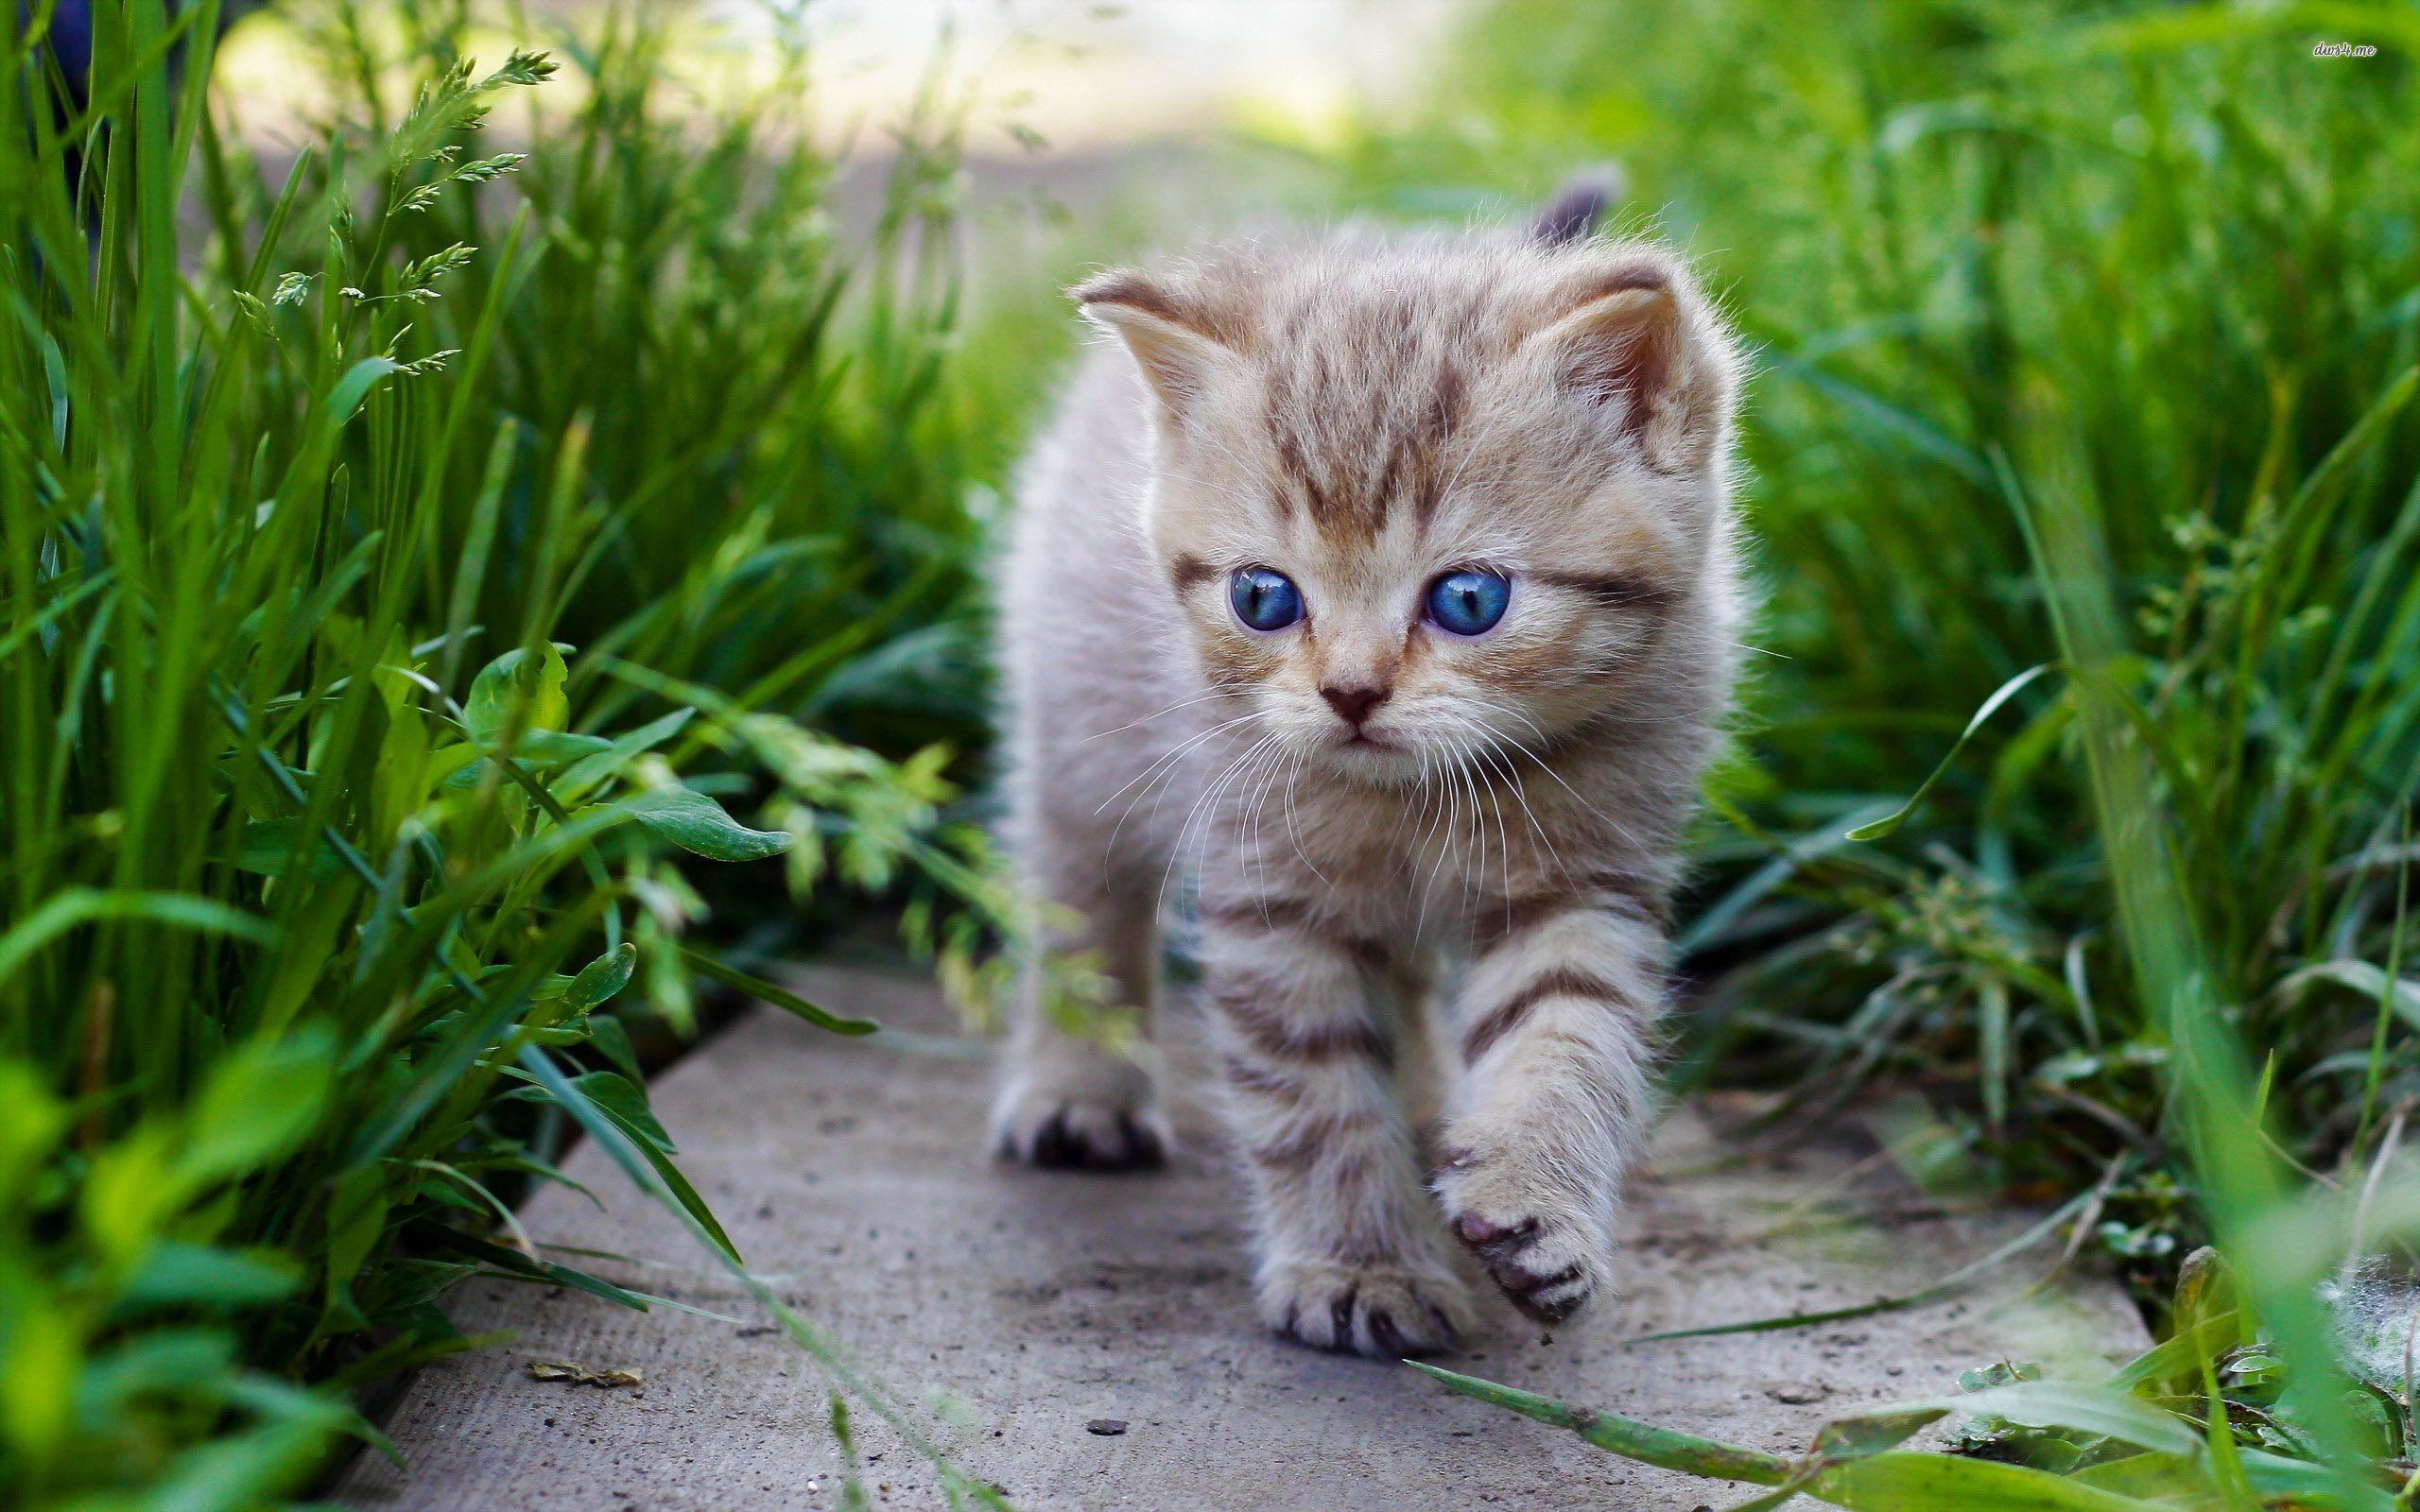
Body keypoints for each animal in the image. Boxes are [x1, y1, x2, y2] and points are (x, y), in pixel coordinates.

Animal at [992, 191, 1752, 1354]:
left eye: (1470, 600)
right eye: (1263, 597)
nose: (1348, 693)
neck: (1423, 806)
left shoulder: (1588, 879)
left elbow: (1566, 1037)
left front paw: (1533, 1198)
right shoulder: (1273, 897)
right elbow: (1313, 1094)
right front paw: (1360, 1267)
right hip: (1078, 737)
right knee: (1082, 902)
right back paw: (1081, 1087)